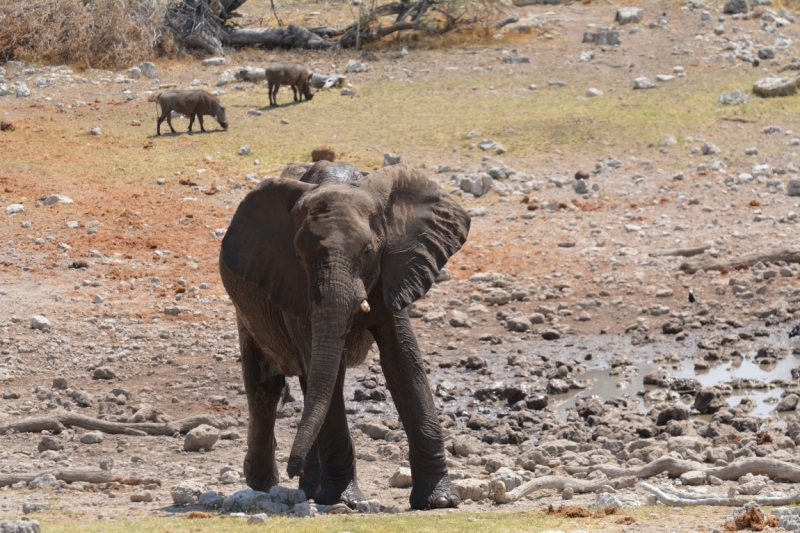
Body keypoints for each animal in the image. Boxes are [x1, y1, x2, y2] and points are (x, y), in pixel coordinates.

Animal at [219, 160, 468, 510]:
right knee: (265, 387)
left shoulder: (394, 269)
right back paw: (268, 485)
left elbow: (403, 361)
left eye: (368, 251)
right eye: (298, 256)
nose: (293, 468)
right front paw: (345, 500)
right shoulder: (292, 284)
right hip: (246, 310)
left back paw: (309, 487)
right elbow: (327, 372)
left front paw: (440, 501)